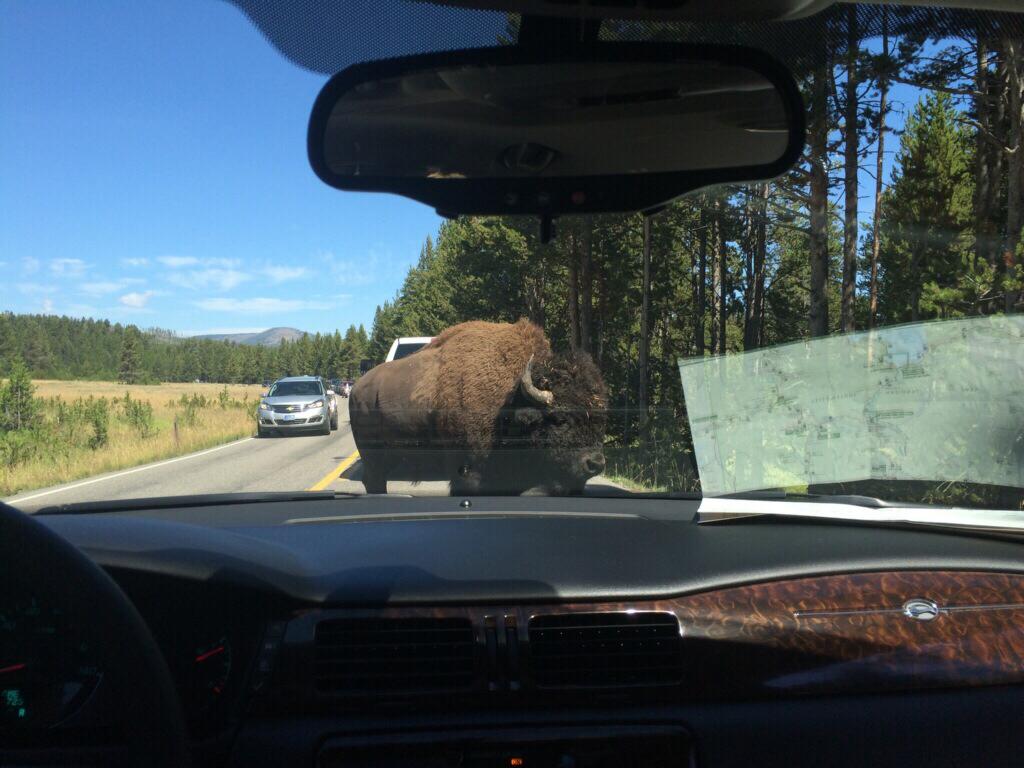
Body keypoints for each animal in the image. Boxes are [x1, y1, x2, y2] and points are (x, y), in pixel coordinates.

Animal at [352, 321, 606, 495]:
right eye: (560, 419)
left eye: (600, 420)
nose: (595, 463)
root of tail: (357, 387)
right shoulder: (469, 472)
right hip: (372, 455)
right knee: (374, 479)